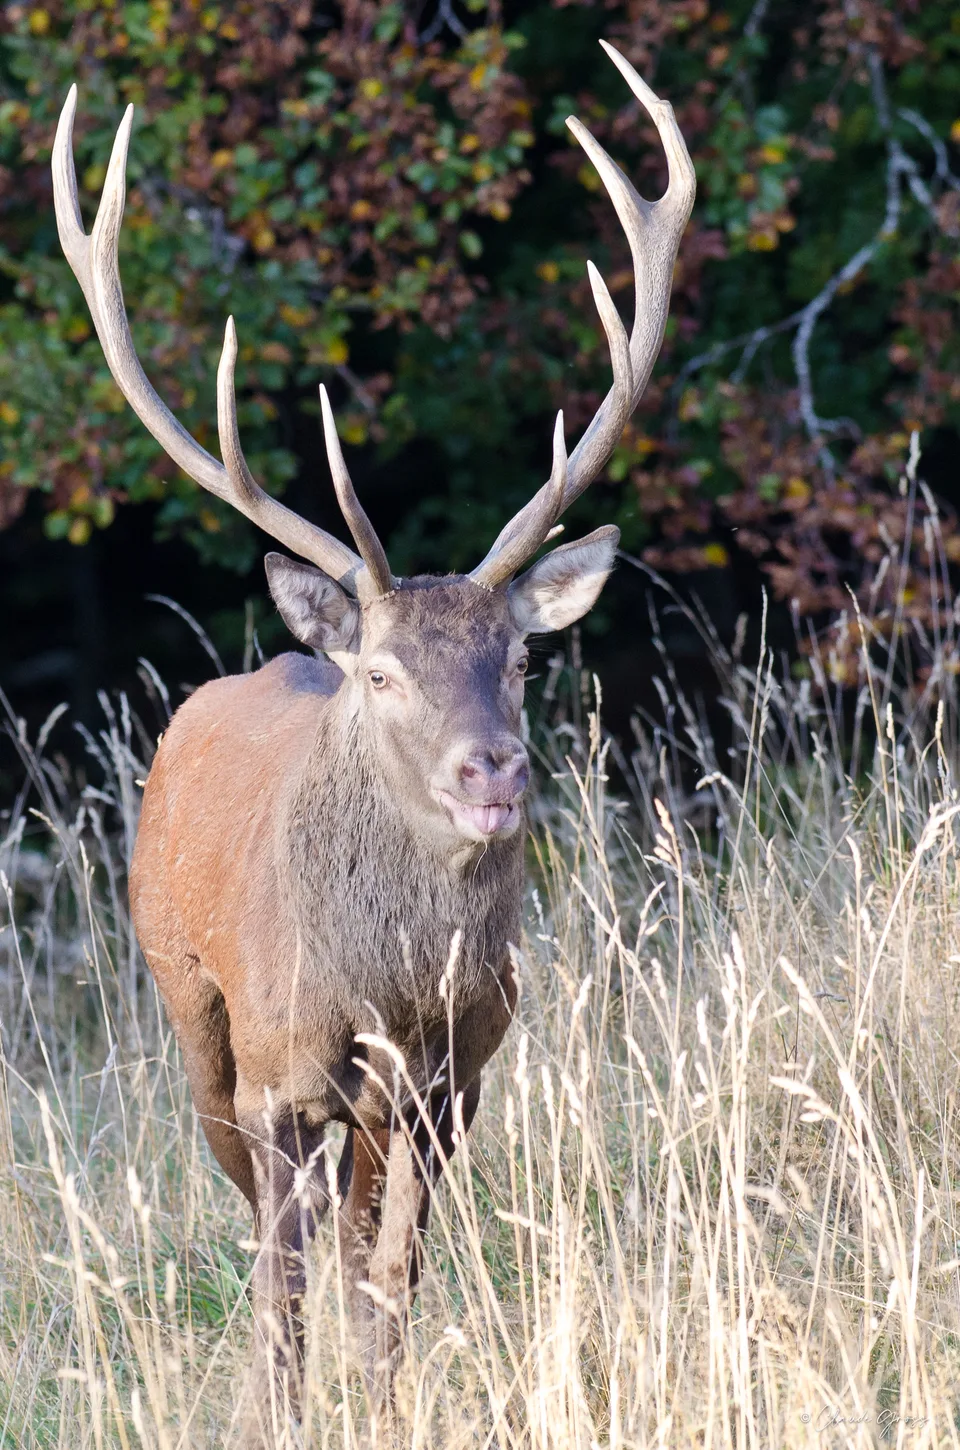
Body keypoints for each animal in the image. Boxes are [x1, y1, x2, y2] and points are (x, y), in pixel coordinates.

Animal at [52, 41, 694, 1446]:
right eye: (387, 670)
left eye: (519, 657)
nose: (490, 768)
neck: (389, 986)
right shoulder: (280, 1072)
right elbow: (282, 1281)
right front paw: (279, 1407)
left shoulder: (457, 1074)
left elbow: (391, 1270)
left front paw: (386, 1403)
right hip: (191, 1010)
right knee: (257, 1219)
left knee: (350, 1238)